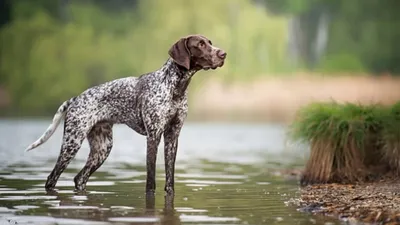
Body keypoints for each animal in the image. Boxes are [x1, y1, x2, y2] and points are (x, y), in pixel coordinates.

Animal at [25, 34, 228, 195]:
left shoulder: (172, 137)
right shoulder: (154, 136)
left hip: (102, 148)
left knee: (79, 178)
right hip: (72, 143)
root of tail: (75, 99)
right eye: (200, 44)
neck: (175, 88)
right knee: (52, 178)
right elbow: (150, 181)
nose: (223, 54)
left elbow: (169, 180)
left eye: (210, 42)